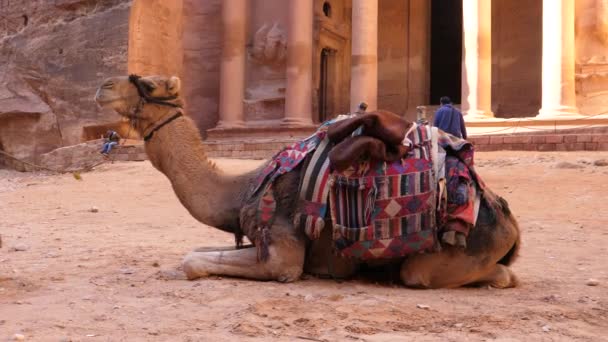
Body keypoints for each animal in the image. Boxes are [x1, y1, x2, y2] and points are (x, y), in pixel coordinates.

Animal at [96, 74, 524, 288]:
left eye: (147, 85)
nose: (103, 87)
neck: (242, 191)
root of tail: (507, 220)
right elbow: (195, 252)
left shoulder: (282, 253)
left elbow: (193, 262)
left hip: (454, 254)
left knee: (476, 275)